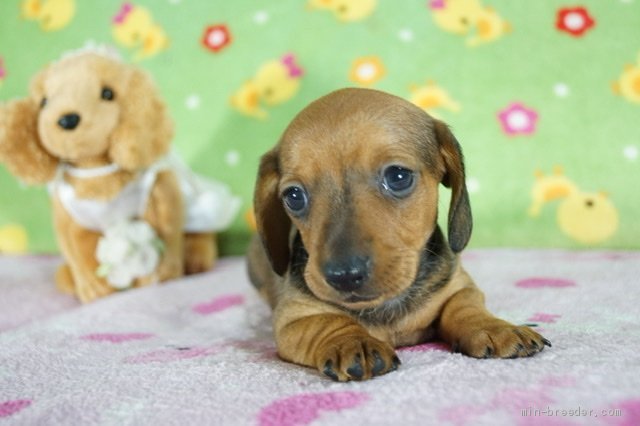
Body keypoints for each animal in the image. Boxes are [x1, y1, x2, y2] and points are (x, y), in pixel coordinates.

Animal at [248, 88, 548, 382]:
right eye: (294, 196)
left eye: (398, 176)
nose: (344, 275)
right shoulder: (293, 319)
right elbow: (329, 321)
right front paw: (354, 342)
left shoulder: (460, 286)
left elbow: (465, 307)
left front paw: (495, 327)